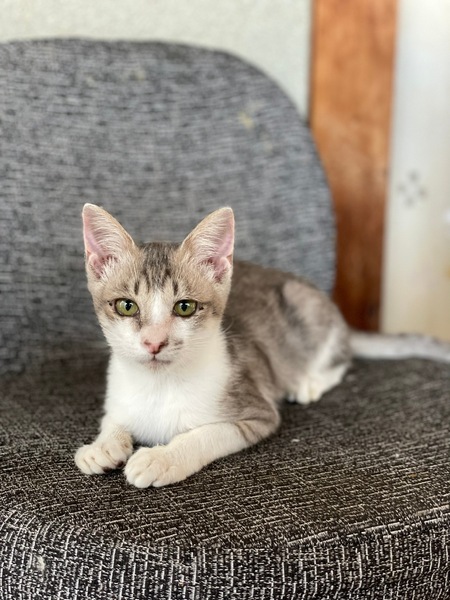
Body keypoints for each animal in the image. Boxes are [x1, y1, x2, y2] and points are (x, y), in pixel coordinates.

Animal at [75, 204, 450, 488]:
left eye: (185, 307)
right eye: (127, 306)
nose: (154, 341)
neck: (159, 385)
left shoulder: (256, 412)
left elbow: (203, 435)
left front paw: (161, 458)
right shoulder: (119, 397)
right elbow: (113, 418)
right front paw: (102, 446)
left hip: (307, 310)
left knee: (341, 356)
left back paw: (308, 382)